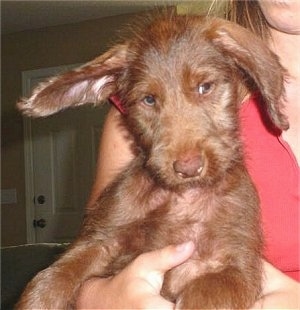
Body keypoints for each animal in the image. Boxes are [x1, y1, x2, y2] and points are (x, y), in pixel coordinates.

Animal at [16, 12, 288, 310]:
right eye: (148, 100)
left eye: (205, 87)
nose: (188, 167)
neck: (184, 197)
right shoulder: (101, 239)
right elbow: (51, 278)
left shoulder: (236, 266)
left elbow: (204, 292)